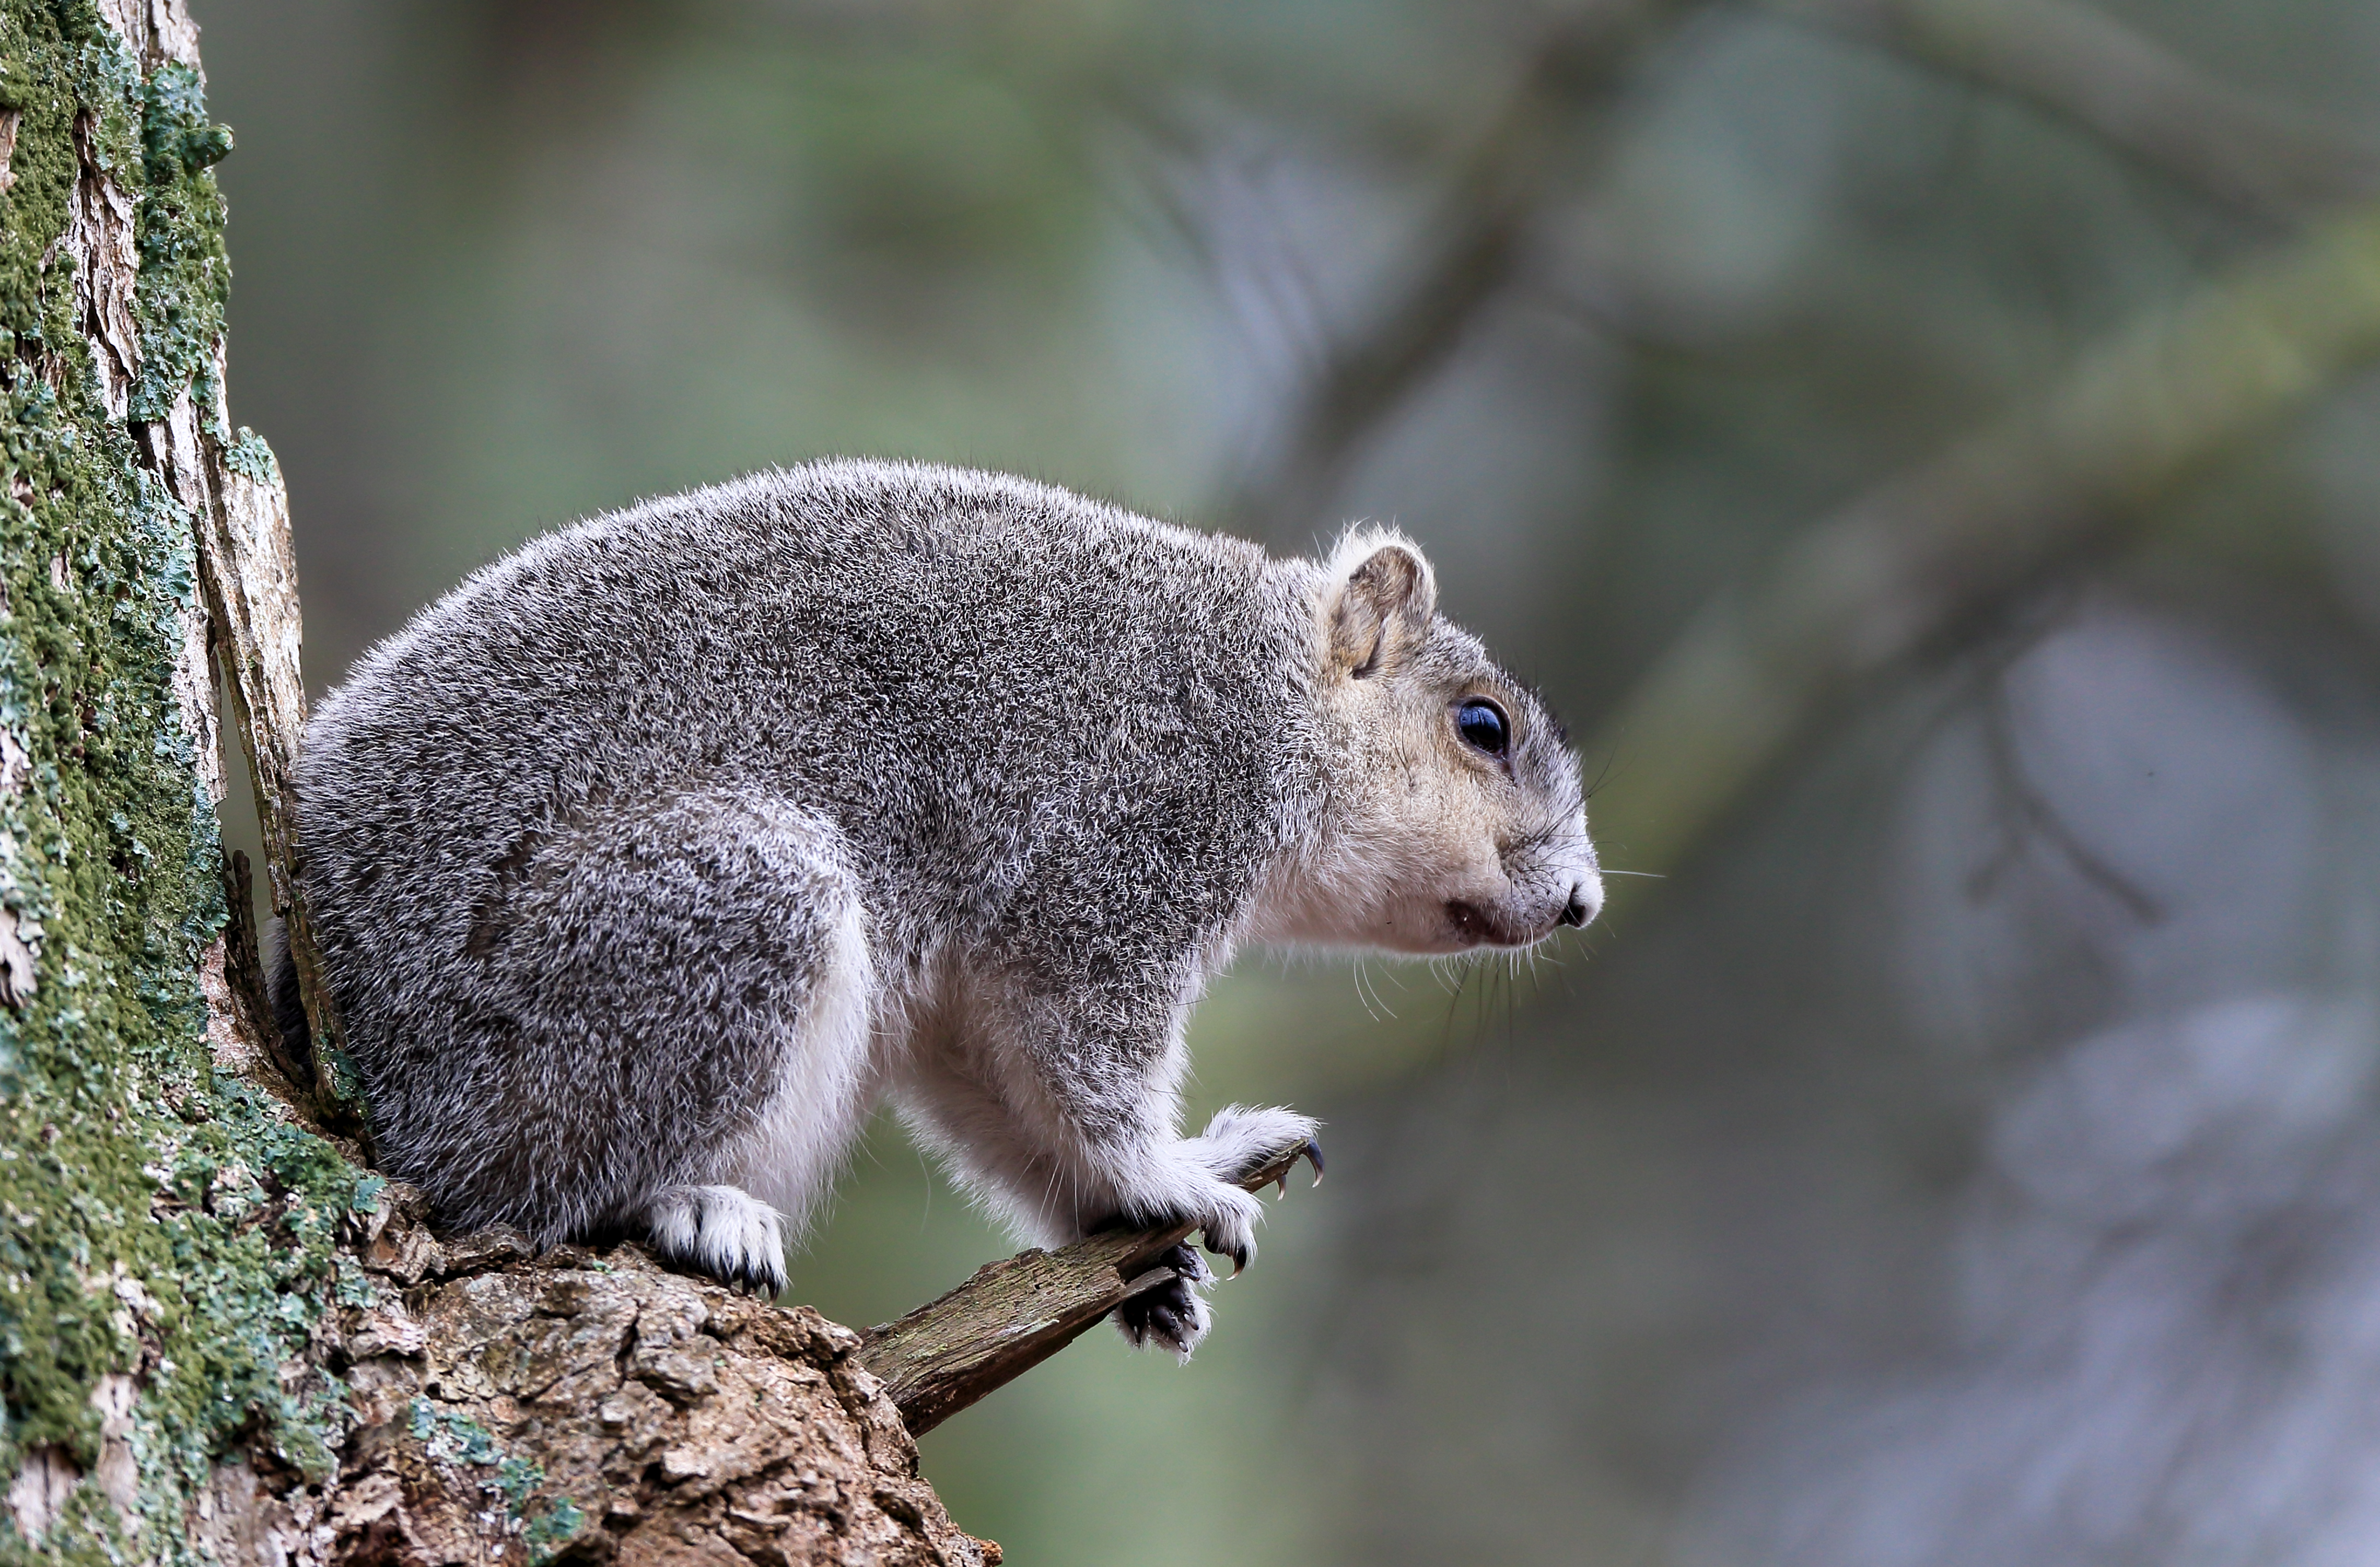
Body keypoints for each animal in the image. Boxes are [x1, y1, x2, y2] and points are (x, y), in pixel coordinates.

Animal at [274, 459, 1600, 1355]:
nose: (1585, 900)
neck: (1264, 696)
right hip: (687, 931)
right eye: (1480, 726)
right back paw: (696, 1207)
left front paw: (1144, 1227)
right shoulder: (1116, 862)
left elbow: (1002, 1100)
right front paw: (1172, 1175)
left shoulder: (970, 984)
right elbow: (1084, 1068)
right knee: (523, 1185)